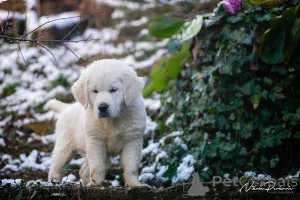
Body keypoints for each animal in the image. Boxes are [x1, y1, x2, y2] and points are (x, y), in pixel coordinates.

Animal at [44, 58, 146, 187]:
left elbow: (131, 167)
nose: (102, 107)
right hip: (64, 147)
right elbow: (97, 166)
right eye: (95, 91)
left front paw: (134, 185)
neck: (112, 121)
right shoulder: (95, 141)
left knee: (83, 170)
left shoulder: (133, 140)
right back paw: (54, 182)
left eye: (113, 90)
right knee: (56, 167)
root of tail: (67, 107)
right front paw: (95, 185)